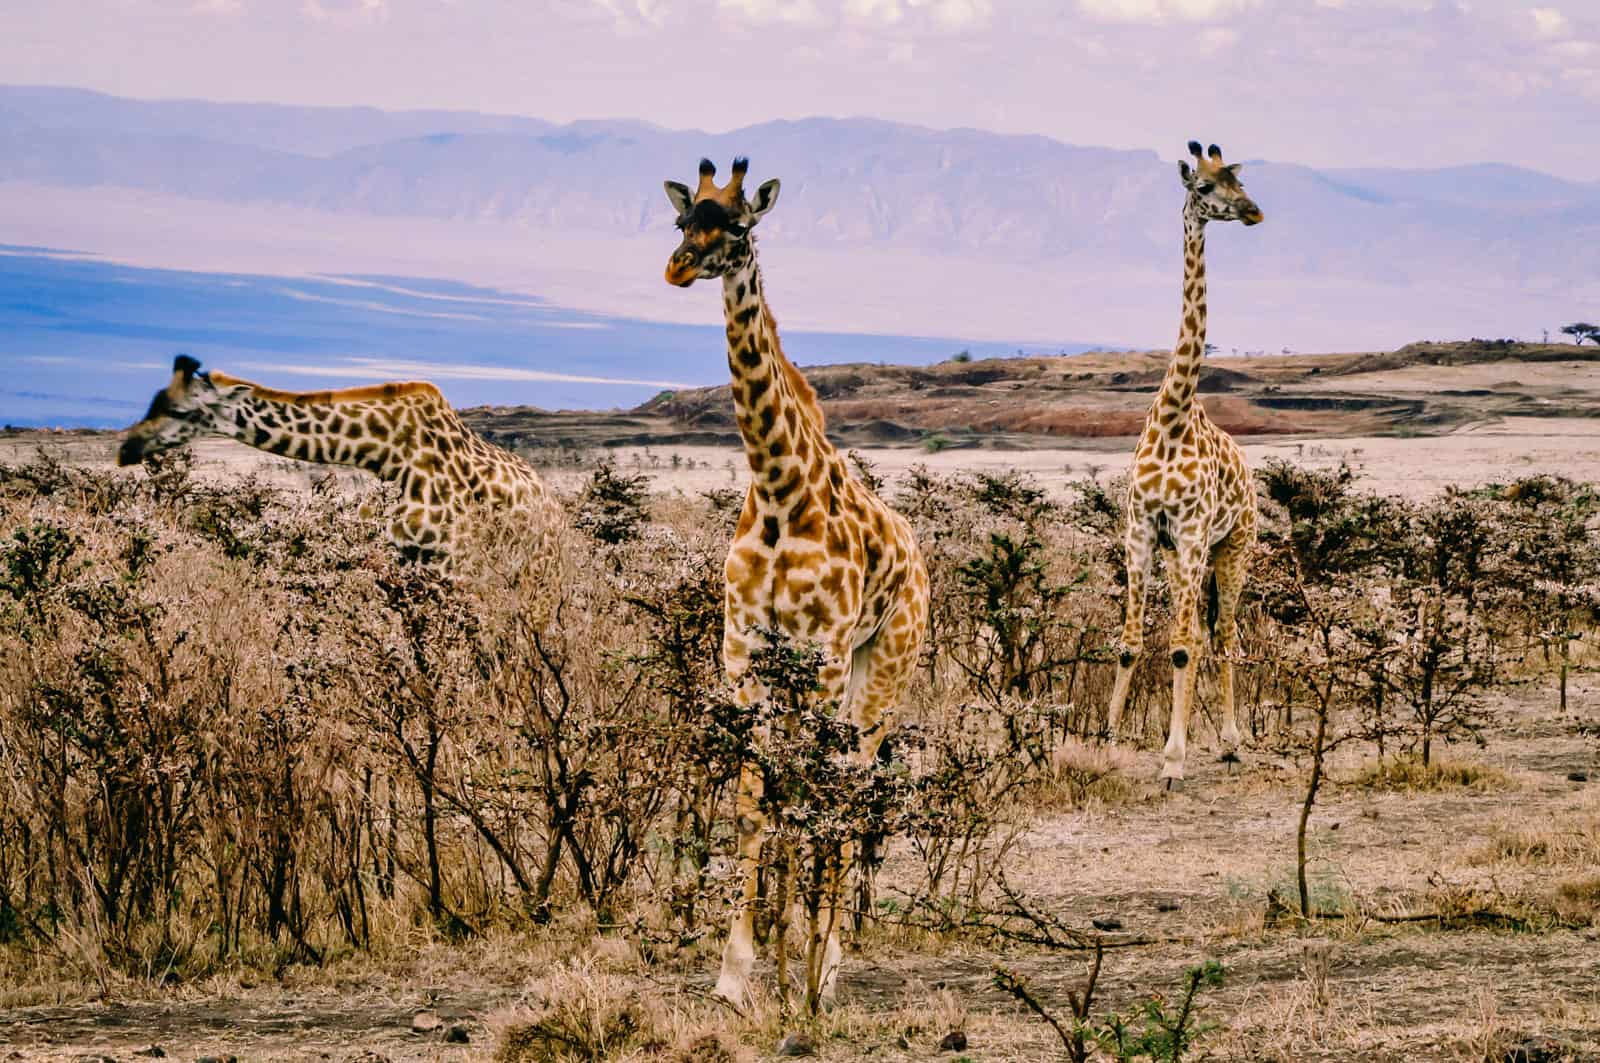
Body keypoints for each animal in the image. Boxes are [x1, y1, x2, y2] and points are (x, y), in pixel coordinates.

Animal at [118, 355, 564, 583]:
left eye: (180, 410)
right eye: (154, 399)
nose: (126, 448)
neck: (392, 453)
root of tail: (552, 505)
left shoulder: (452, 567)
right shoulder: (403, 562)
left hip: (537, 572)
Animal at [662, 157, 930, 1005]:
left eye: (738, 225)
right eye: (683, 222)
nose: (677, 267)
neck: (780, 490)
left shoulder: (822, 650)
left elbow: (811, 795)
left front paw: (795, 963)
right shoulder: (742, 648)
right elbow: (754, 801)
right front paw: (736, 970)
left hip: (882, 667)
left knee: (851, 786)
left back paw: (828, 963)